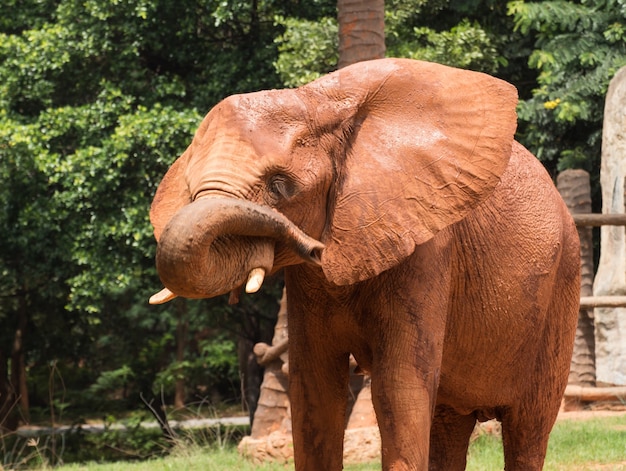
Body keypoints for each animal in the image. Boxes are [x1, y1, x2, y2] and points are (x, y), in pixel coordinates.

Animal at [149, 59, 576, 471]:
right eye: (189, 188)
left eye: (280, 186)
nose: (309, 245)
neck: (319, 101)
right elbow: (314, 390)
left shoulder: (427, 250)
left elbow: (398, 389)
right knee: (448, 424)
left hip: (562, 289)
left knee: (528, 430)